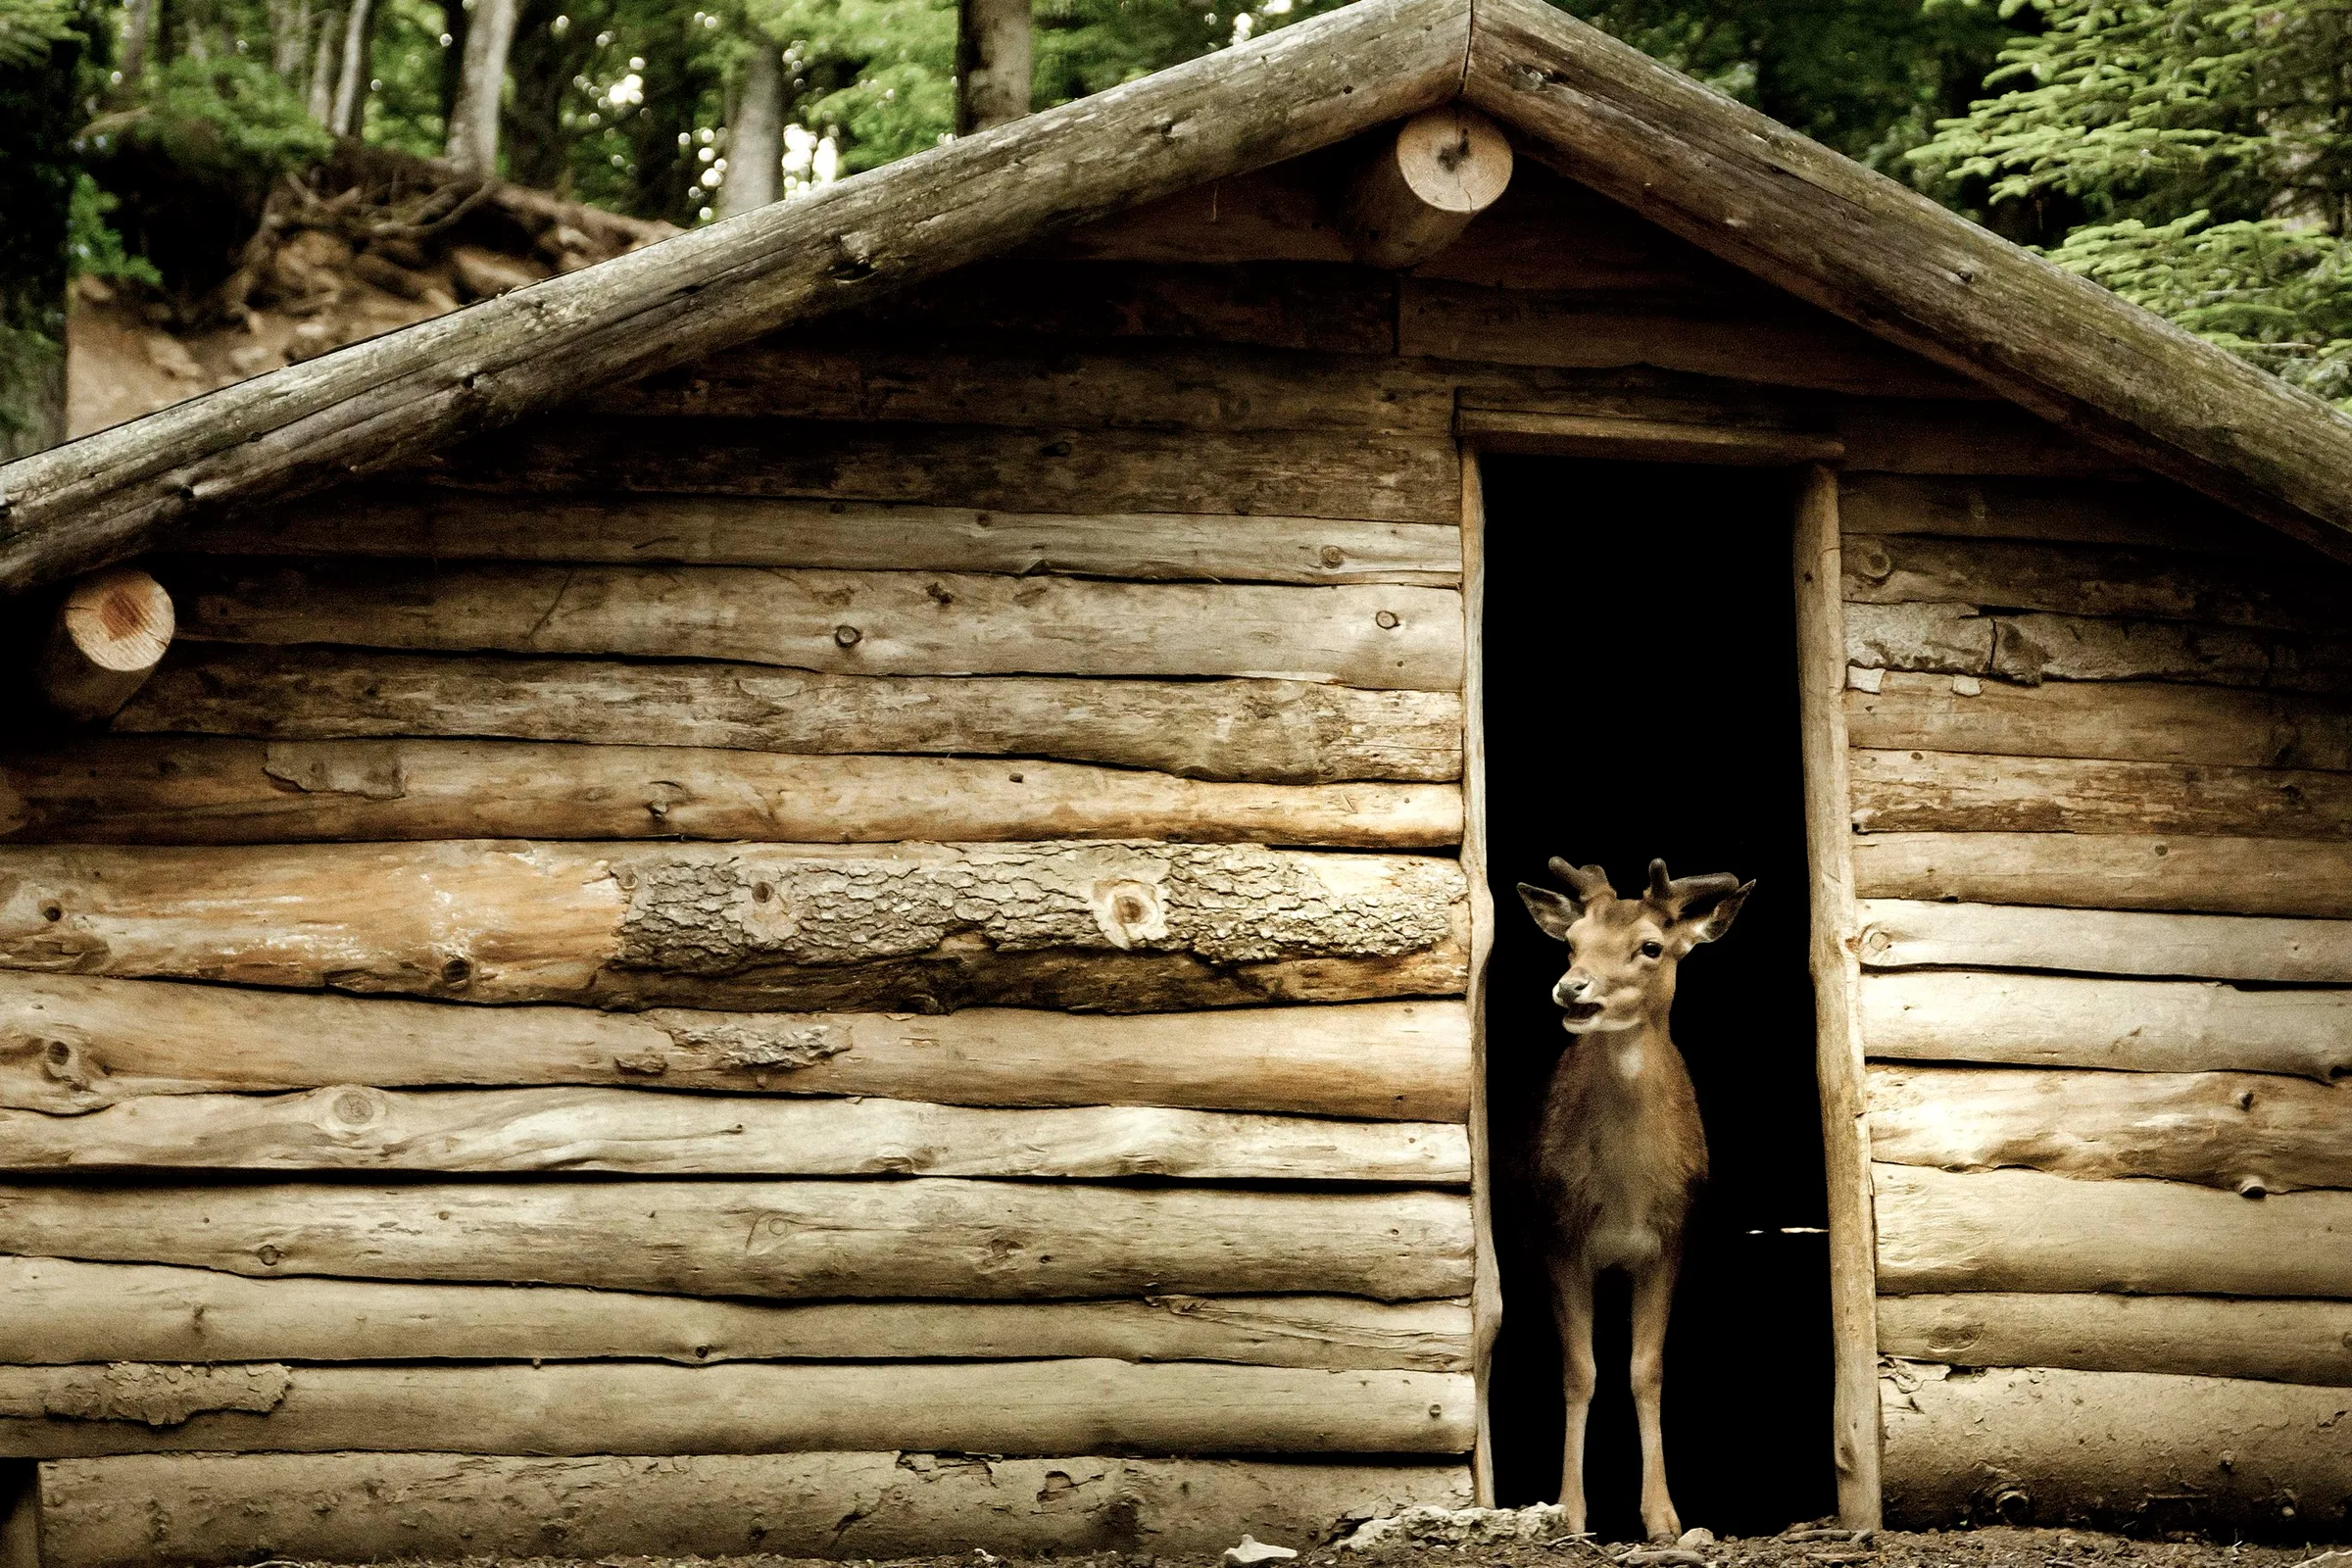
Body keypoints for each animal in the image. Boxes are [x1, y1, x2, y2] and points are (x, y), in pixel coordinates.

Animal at [1515, 856, 1753, 1544]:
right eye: (1572, 941)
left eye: (1651, 946)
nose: (1572, 989)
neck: (1624, 1192)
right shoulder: (1558, 1236)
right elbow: (1580, 1369)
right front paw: (1568, 1512)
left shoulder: (1670, 1242)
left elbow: (1646, 1368)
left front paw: (1665, 1517)